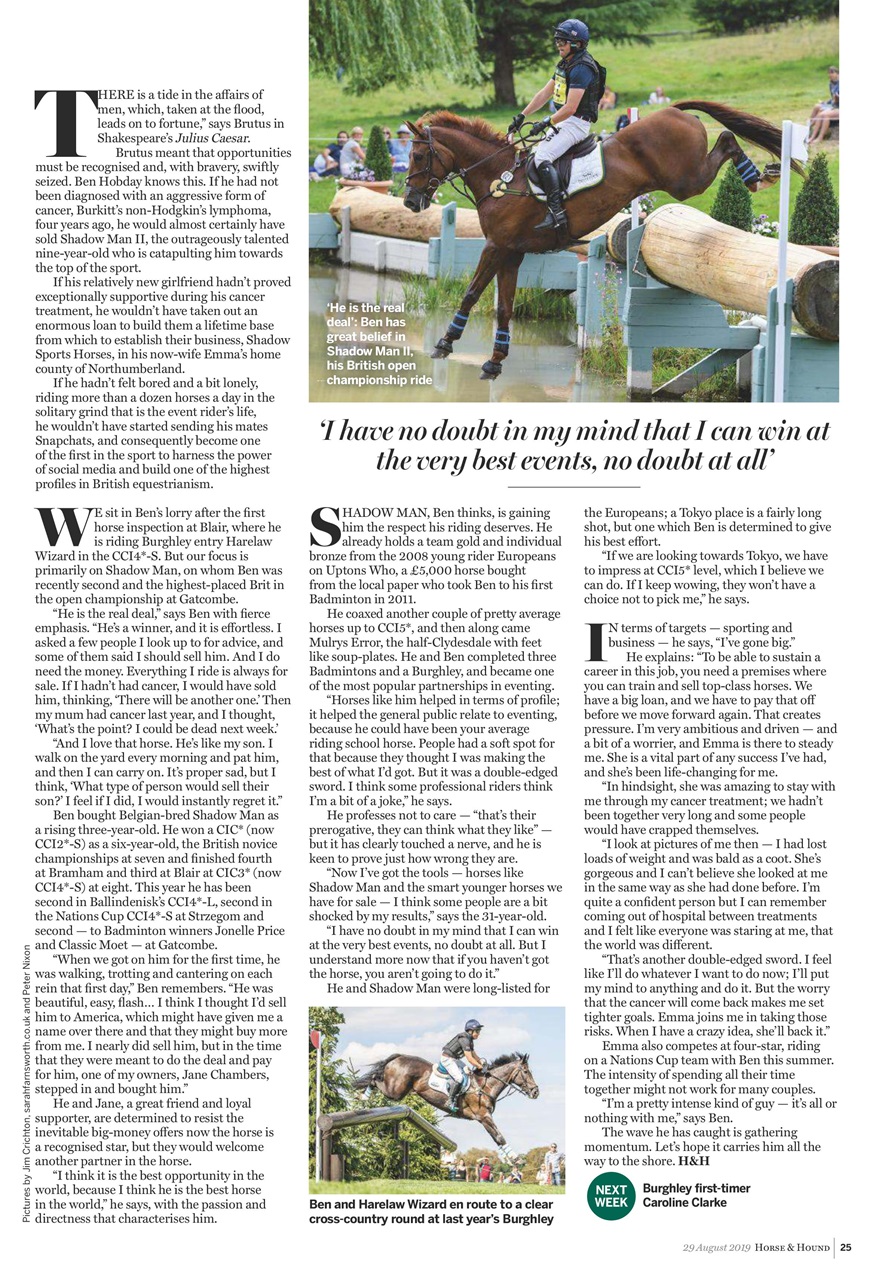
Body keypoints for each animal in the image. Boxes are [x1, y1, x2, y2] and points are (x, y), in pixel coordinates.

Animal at [353, 1051, 538, 1159]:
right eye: (526, 1072)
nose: (536, 1092)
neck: (485, 1086)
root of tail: (399, 1057)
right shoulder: (484, 1117)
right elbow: (499, 1137)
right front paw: (516, 1161)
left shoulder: (485, 1117)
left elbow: (497, 1138)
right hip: (395, 1091)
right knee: (375, 1079)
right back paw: (362, 1096)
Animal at [402, 103, 803, 380]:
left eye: (418, 155)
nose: (410, 202)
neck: (498, 178)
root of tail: (674, 110)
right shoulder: (512, 253)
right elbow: (504, 306)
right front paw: (495, 361)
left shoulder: (496, 247)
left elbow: (471, 293)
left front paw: (444, 343)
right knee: (725, 141)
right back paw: (761, 174)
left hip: (686, 181)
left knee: (726, 141)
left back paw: (760, 176)